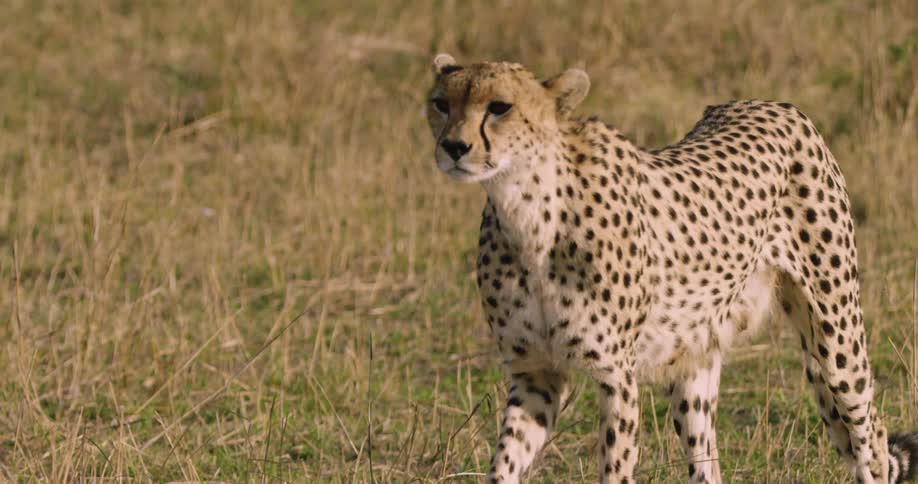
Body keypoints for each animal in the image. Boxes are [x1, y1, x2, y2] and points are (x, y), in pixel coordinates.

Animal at [424, 53, 918, 483]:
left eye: (500, 107)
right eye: (441, 103)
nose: (454, 147)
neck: (527, 210)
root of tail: (769, 102)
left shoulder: (616, 376)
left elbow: (615, 468)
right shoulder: (534, 375)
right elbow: (503, 465)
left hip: (836, 338)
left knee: (871, 437)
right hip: (694, 360)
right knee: (708, 465)